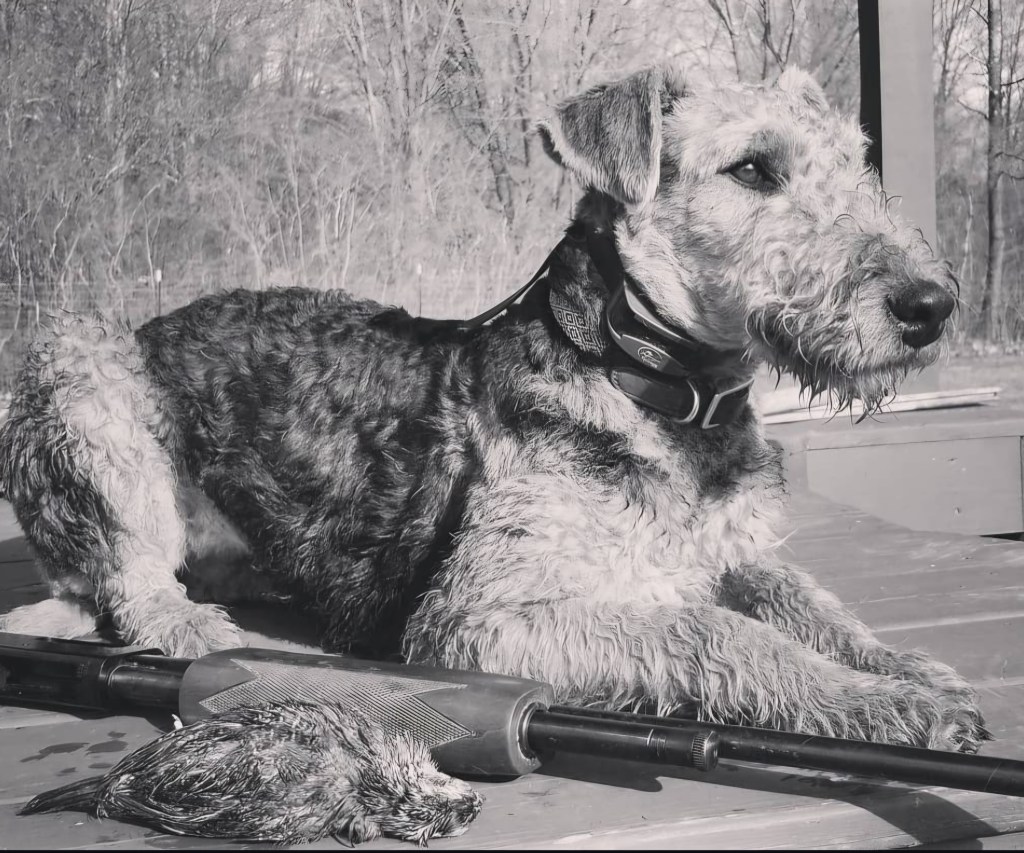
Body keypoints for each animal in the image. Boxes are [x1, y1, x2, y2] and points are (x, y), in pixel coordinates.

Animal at [0, 66, 988, 752]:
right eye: (752, 167)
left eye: (859, 160)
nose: (930, 305)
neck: (649, 389)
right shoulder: (480, 618)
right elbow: (719, 629)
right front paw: (884, 705)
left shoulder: (734, 553)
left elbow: (814, 606)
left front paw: (909, 670)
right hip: (77, 373)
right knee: (134, 583)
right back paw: (199, 633)